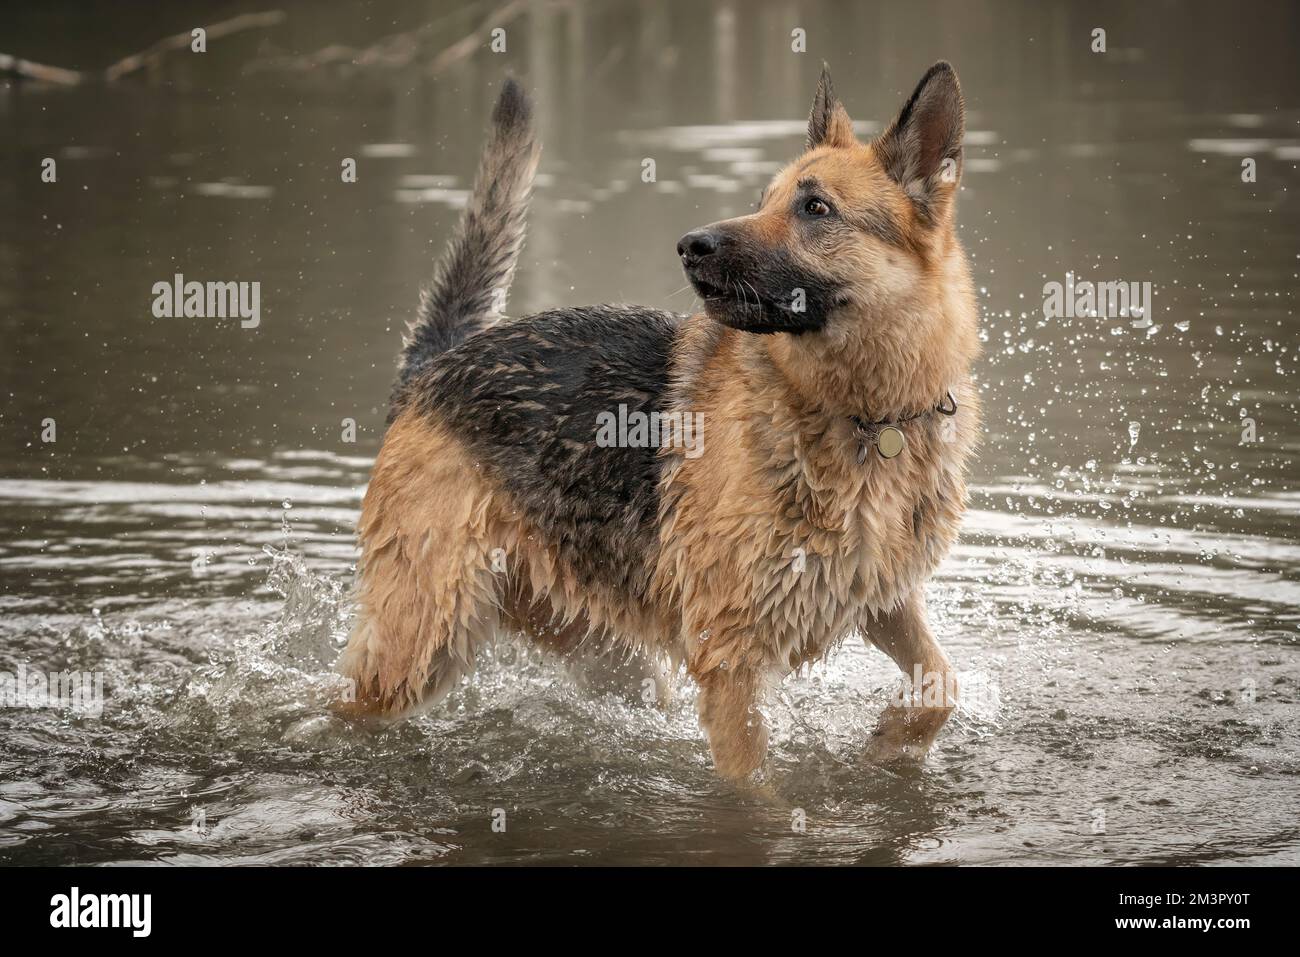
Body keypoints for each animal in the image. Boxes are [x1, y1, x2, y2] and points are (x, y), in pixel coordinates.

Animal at [340, 59, 977, 780]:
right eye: (764, 199)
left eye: (816, 208)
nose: (690, 245)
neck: (870, 418)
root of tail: (434, 365)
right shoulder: (731, 662)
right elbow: (755, 788)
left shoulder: (881, 596)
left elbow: (942, 681)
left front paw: (893, 738)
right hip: (419, 645)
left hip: (615, 658)